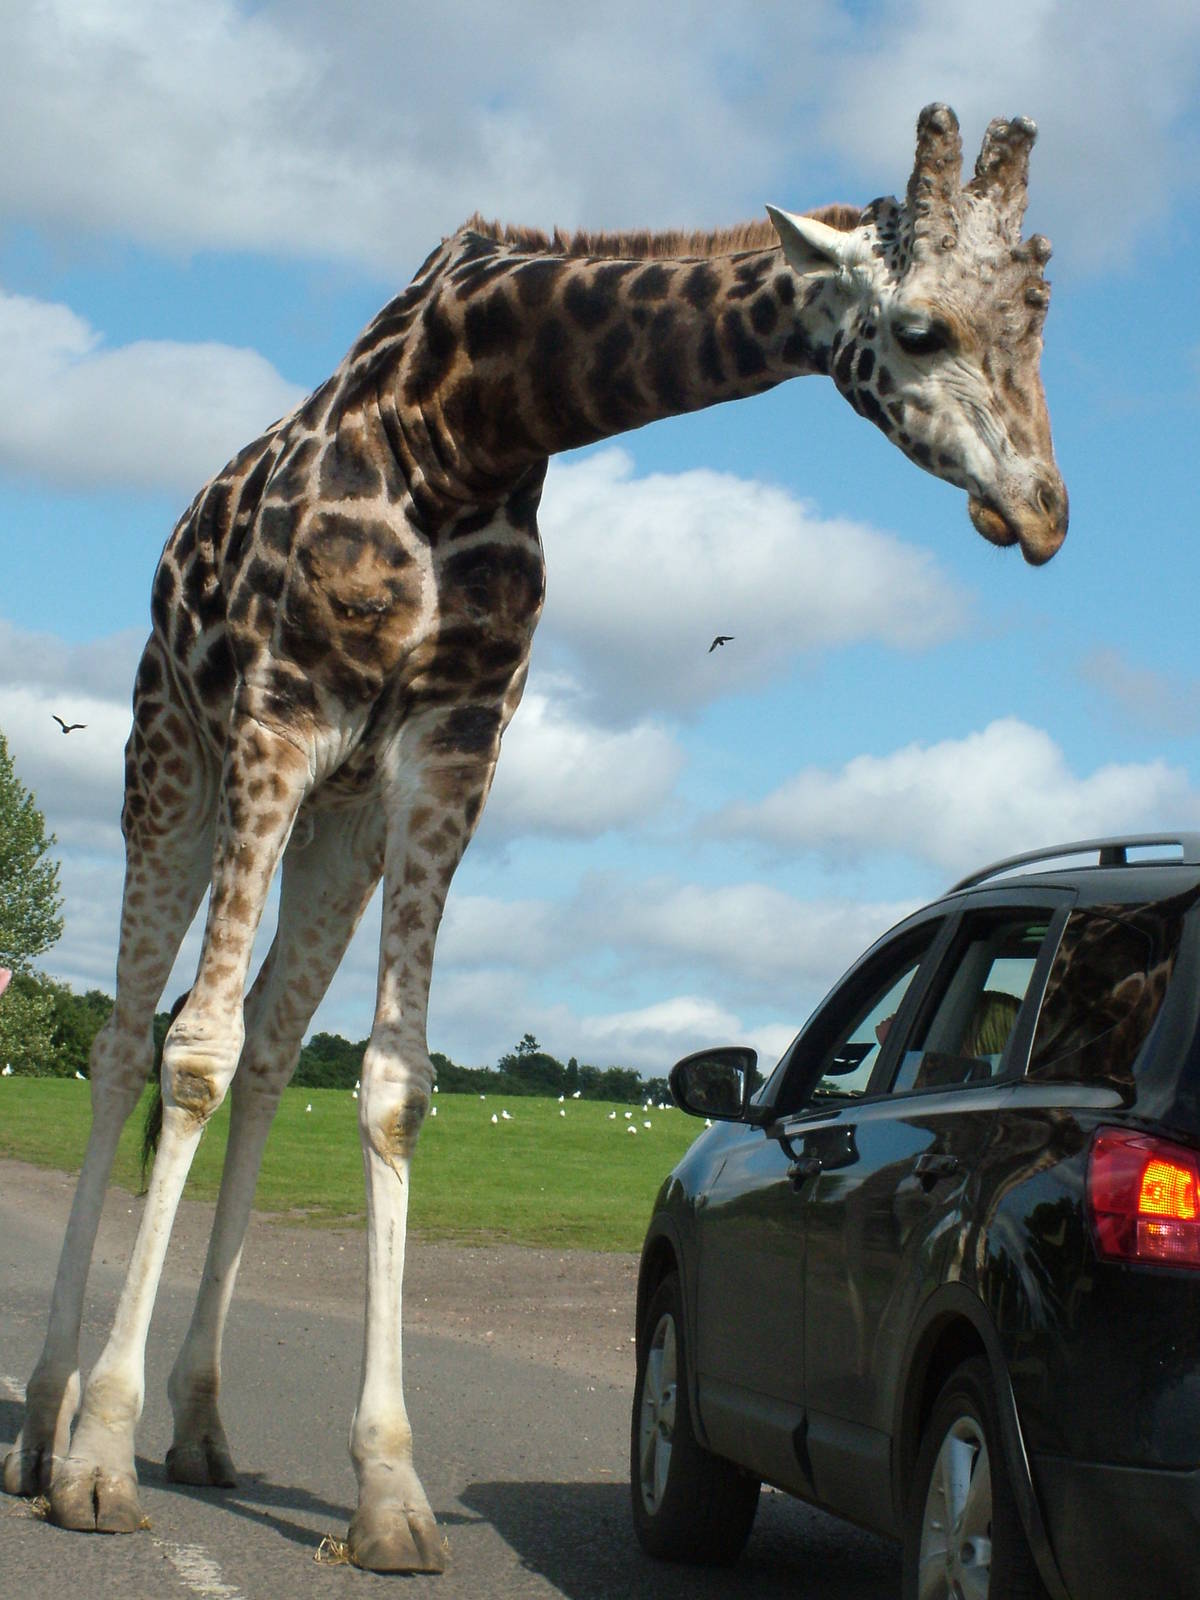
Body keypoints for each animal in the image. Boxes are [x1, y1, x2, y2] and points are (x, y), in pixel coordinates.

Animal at [3, 104, 1067, 1571]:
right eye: (919, 330)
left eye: (1039, 321)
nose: (1046, 509)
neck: (466, 418)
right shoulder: (280, 714)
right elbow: (190, 1052)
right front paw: (101, 1464)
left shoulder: (452, 744)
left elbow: (390, 1082)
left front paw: (389, 1491)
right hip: (172, 759)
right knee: (126, 1043)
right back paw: (48, 1425)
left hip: (340, 827)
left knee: (274, 1051)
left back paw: (207, 1426)